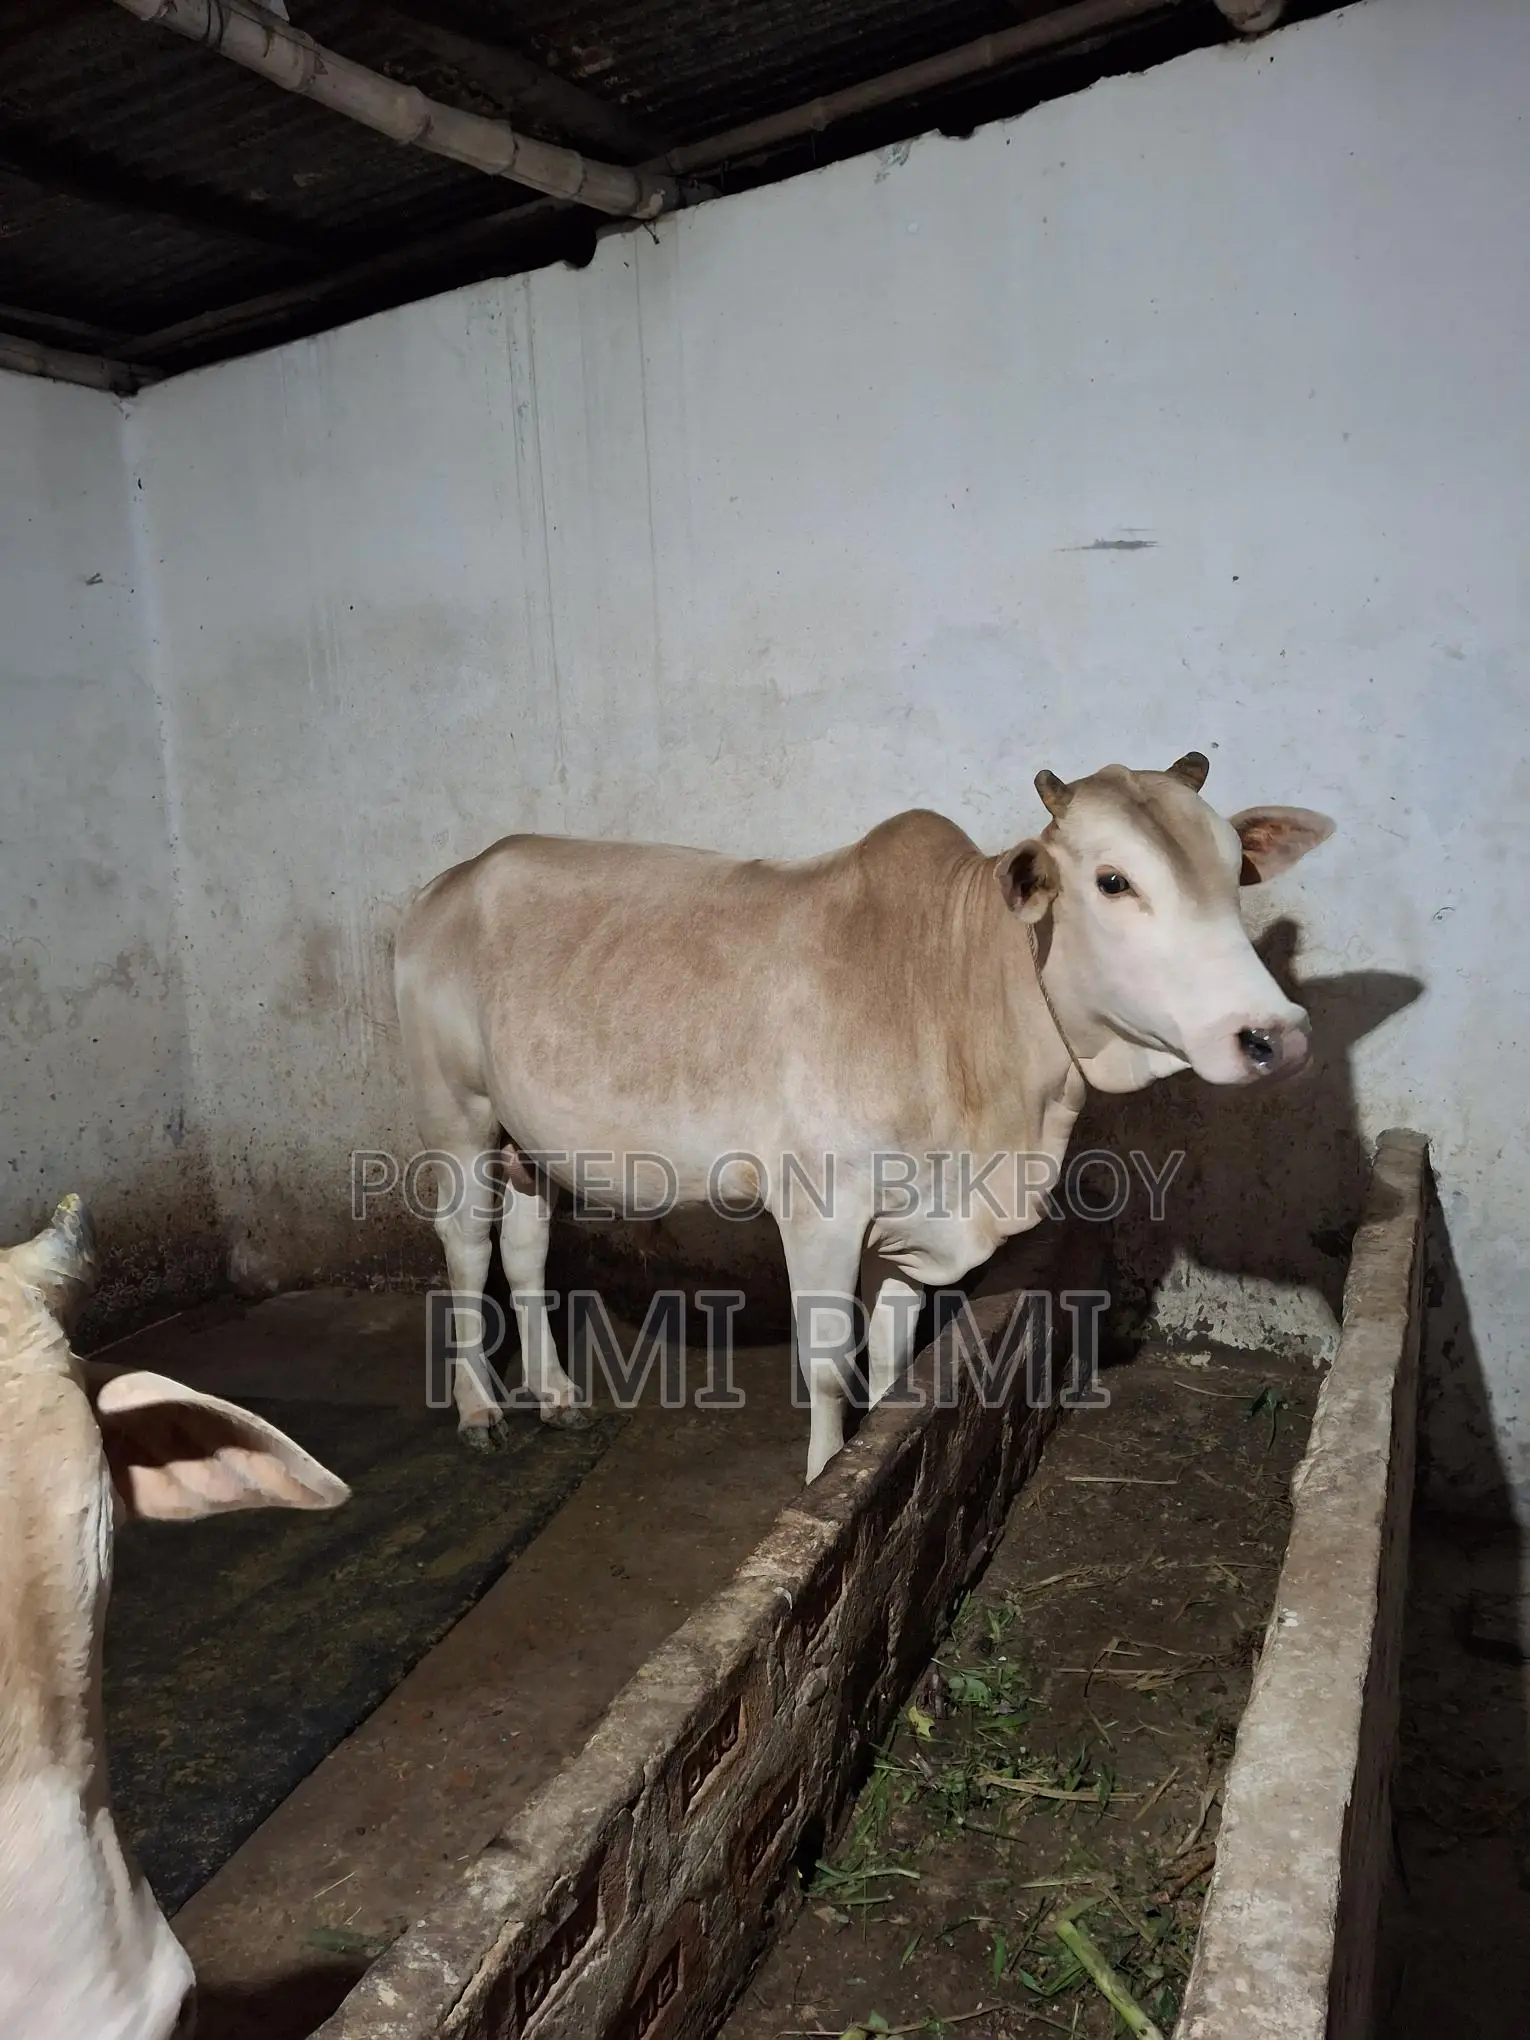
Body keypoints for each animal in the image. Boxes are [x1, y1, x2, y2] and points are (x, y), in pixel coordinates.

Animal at [394, 754, 1333, 1483]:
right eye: (1112, 880)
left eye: (1232, 871)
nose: (1272, 1036)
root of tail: (455, 878)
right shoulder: (819, 1210)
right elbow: (828, 1367)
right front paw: (820, 1478)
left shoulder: (911, 1218)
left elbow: (889, 1364)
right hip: (456, 1113)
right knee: (467, 1247)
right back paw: (479, 1408)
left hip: (531, 1139)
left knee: (525, 1247)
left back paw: (555, 1396)